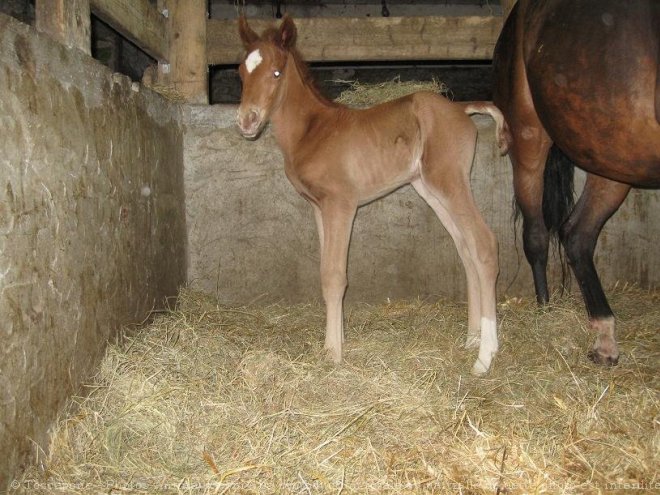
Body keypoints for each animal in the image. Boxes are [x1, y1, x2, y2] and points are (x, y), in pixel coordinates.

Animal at [238, 15, 510, 374]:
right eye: (241, 72)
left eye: (276, 72)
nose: (246, 120)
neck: (313, 130)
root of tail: (462, 108)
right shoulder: (319, 208)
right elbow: (325, 273)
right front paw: (337, 341)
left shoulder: (341, 204)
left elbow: (335, 276)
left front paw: (333, 354)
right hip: (430, 189)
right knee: (466, 250)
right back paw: (471, 340)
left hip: (450, 181)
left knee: (483, 244)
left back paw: (485, 356)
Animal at [496, 0, 660, 364]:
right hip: (529, 141)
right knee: (538, 235)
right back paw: (546, 311)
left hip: (610, 157)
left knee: (577, 235)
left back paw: (603, 337)